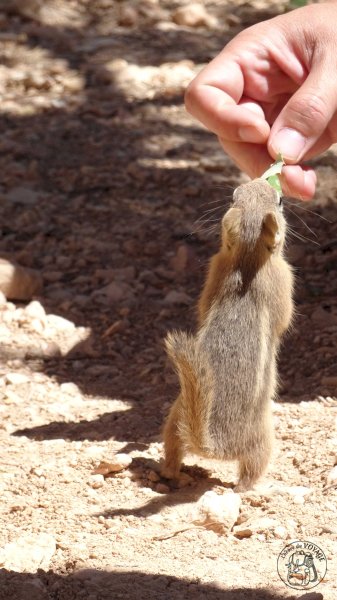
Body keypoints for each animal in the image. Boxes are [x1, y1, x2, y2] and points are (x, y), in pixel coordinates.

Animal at [161, 178, 292, 492]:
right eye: (280, 201)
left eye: (234, 197)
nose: (259, 178)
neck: (247, 259)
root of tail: (212, 444)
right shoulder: (283, 281)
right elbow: (285, 320)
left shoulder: (215, 272)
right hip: (263, 438)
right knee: (248, 474)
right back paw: (254, 488)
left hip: (174, 418)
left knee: (171, 457)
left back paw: (177, 474)